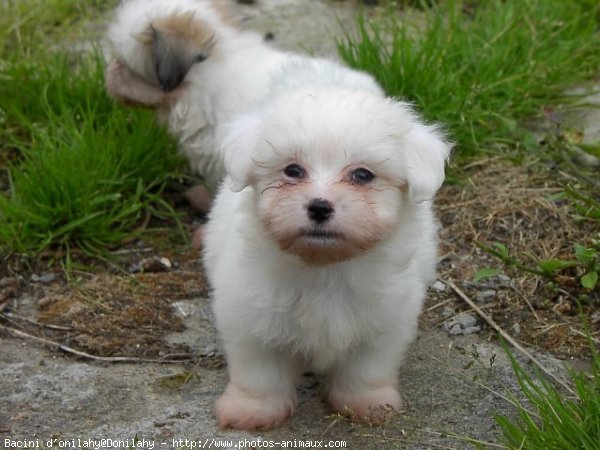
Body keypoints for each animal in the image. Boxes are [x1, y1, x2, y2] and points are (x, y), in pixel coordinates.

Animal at [105, 0, 450, 430]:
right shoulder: (251, 317)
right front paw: (253, 411)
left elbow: (366, 367)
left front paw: (367, 404)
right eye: (292, 171)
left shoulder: (385, 321)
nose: (110, 73)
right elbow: (260, 370)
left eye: (362, 175)